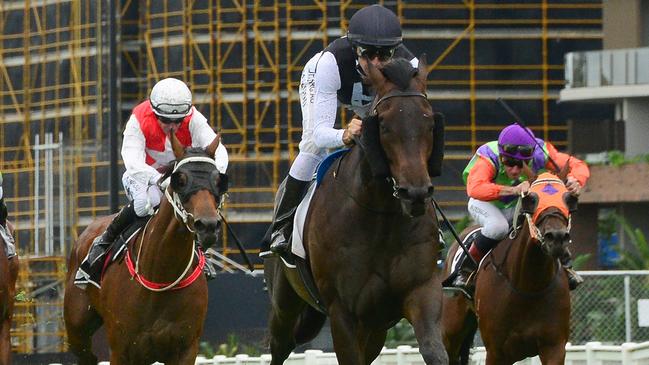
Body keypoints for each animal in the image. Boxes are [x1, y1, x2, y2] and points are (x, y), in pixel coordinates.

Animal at [63, 134, 225, 364]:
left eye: (219, 181)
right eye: (181, 180)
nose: (208, 225)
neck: (161, 274)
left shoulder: (186, 348)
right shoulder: (121, 350)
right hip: (77, 329)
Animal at [262, 54, 446, 364]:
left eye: (429, 123)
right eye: (383, 125)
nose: (416, 193)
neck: (381, 215)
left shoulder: (420, 291)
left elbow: (434, 350)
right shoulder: (342, 311)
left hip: (374, 329)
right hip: (283, 305)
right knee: (279, 345)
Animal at [440, 171, 576, 364]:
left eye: (569, 199)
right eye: (531, 199)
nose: (557, 237)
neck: (529, 286)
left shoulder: (554, 346)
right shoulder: (496, 351)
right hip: (451, 330)